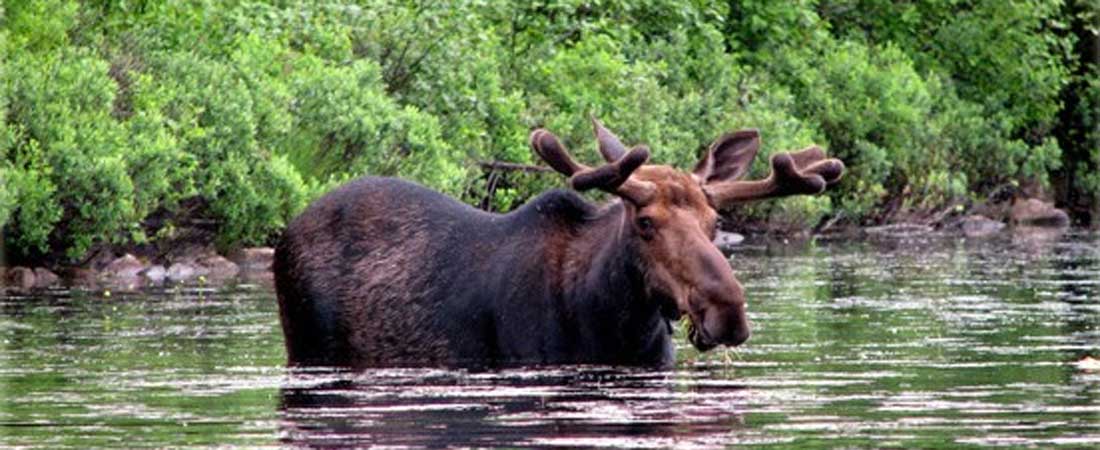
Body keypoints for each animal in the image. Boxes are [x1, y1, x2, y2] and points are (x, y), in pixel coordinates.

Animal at [272, 119, 840, 367]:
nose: (728, 310)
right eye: (645, 222)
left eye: (714, 219)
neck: (615, 325)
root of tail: (287, 232)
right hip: (306, 344)